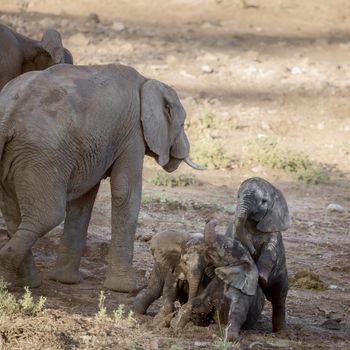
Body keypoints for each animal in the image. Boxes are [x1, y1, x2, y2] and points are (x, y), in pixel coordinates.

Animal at [0, 63, 202, 292]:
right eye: (183, 124)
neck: (147, 81)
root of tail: (8, 115)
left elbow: (84, 199)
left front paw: (67, 281)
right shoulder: (133, 133)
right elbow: (126, 192)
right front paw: (128, 289)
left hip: (25, 155)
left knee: (14, 214)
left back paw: (24, 282)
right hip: (42, 155)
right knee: (47, 216)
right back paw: (12, 277)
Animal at [234, 176, 288, 332]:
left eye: (264, 201)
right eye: (238, 196)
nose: (252, 251)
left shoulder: (273, 232)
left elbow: (269, 252)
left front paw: (262, 278)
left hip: (282, 275)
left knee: (278, 297)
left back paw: (281, 332)